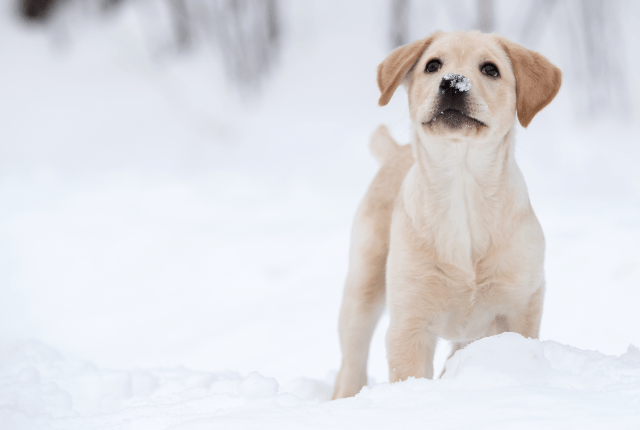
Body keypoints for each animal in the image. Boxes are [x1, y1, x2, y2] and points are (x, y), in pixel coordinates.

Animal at [332, 31, 564, 402]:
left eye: (490, 69)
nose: (453, 83)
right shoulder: (409, 323)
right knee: (351, 361)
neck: (462, 188)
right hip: (362, 286)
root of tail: (395, 151)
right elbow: (408, 376)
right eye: (433, 65)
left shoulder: (520, 308)